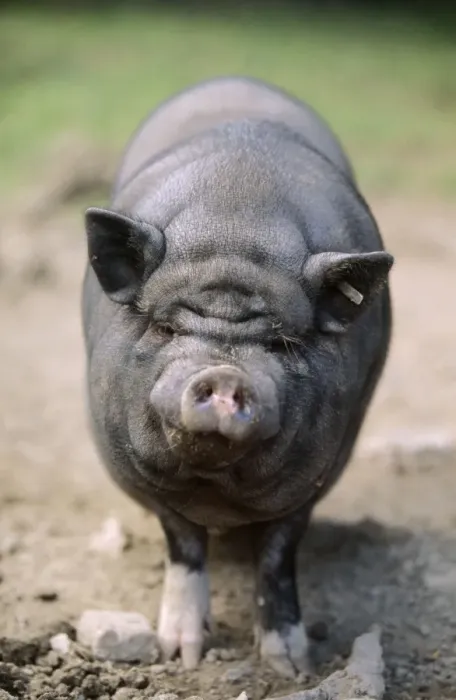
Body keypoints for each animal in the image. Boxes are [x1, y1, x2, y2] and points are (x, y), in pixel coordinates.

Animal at [82, 76, 394, 677]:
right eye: (165, 327)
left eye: (281, 343)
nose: (224, 374)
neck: (235, 233)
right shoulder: (139, 474)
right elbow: (184, 545)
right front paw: (181, 655)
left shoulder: (317, 473)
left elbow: (277, 554)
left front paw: (291, 667)